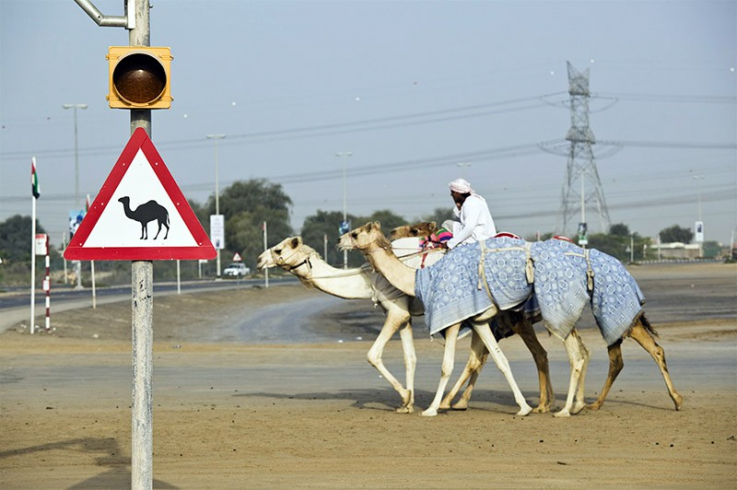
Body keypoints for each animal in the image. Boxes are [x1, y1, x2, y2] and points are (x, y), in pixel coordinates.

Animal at [338, 222, 588, 418]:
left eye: (356, 233)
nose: (340, 240)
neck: (422, 277)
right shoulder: (478, 321)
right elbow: (499, 360)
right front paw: (523, 407)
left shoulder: (453, 320)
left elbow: (447, 366)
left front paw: (431, 408)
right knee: (576, 352)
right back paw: (570, 405)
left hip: (543, 313)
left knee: (564, 354)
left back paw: (562, 408)